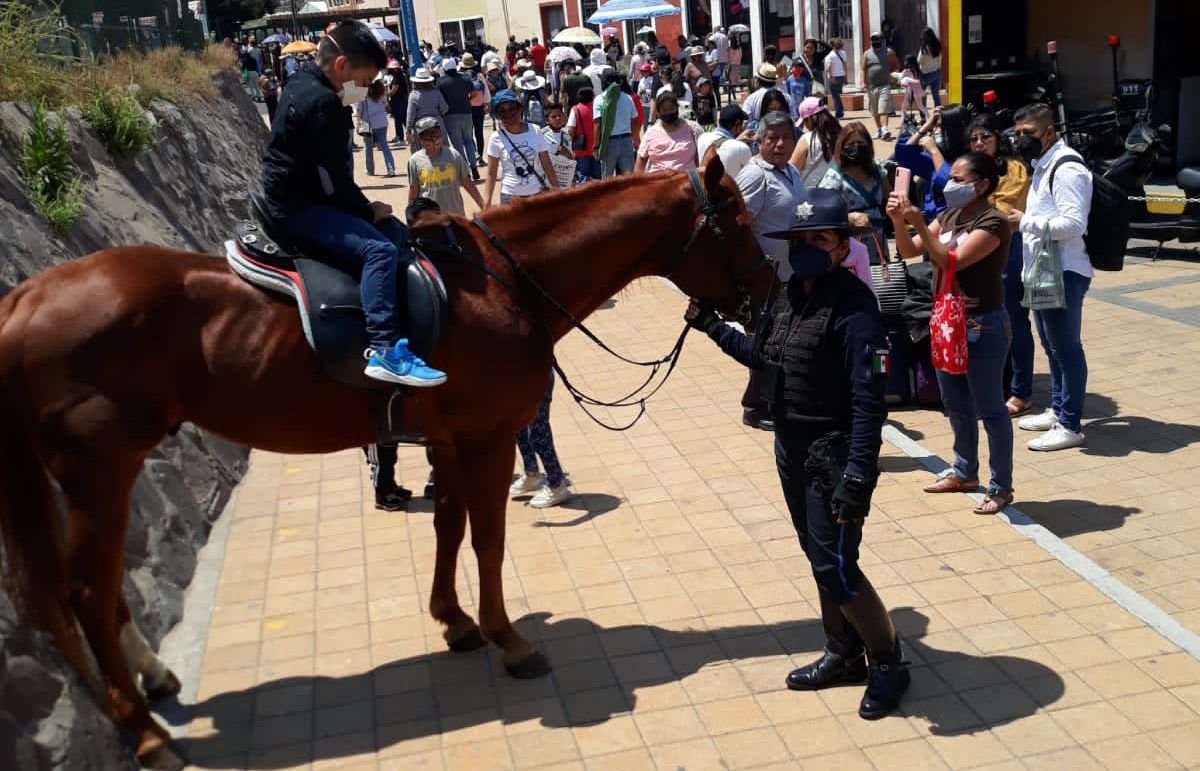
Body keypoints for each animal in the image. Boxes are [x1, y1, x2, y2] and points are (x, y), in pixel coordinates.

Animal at [0, 159, 770, 768]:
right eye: (737, 221)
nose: (769, 288)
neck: (500, 283)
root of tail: (27, 295)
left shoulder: (449, 441)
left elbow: (450, 529)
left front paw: (454, 620)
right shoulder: (489, 439)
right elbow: (488, 541)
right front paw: (508, 639)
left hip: (99, 476)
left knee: (86, 594)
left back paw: (152, 680)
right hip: (100, 472)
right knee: (85, 593)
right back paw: (143, 731)